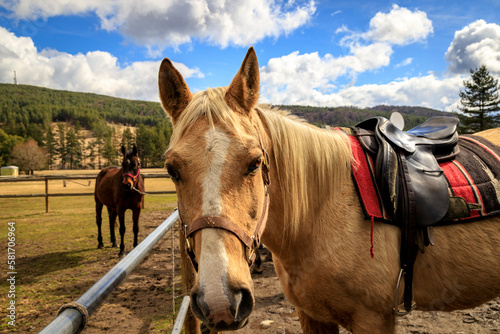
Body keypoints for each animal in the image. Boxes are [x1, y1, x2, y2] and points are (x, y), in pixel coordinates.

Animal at [159, 47, 500, 334]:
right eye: (171, 170)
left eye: (255, 163)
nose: (220, 301)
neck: (319, 214)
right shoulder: (312, 315)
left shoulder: (374, 319)